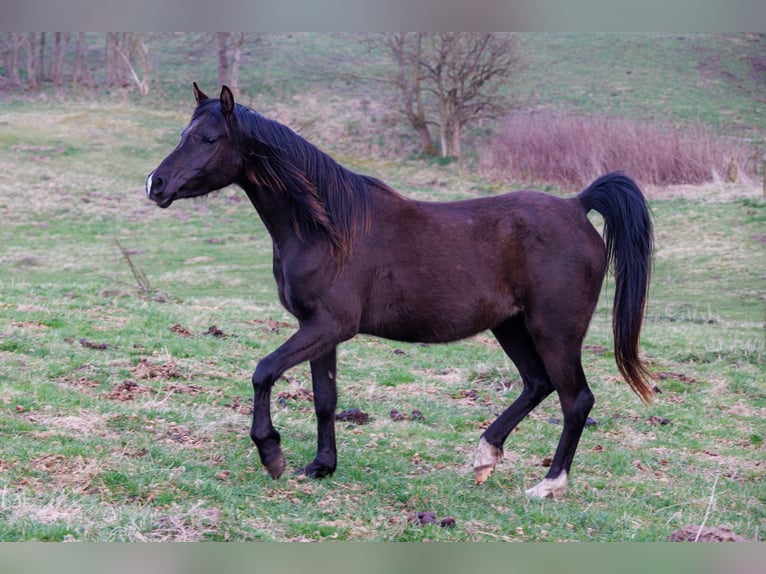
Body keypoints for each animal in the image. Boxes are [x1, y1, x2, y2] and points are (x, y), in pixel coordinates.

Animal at [146, 84, 654, 498]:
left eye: (209, 139)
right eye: (184, 133)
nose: (155, 184)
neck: (327, 227)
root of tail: (577, 206)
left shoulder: (329, 325)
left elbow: (263, 371)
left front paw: (272, 453)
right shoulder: (319, 329)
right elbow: (325, 398)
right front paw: (321, 466)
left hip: (555, 331)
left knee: (576, 399)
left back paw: (549, 484)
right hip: (511, 326)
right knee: (538, 384)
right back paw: (485, 456)